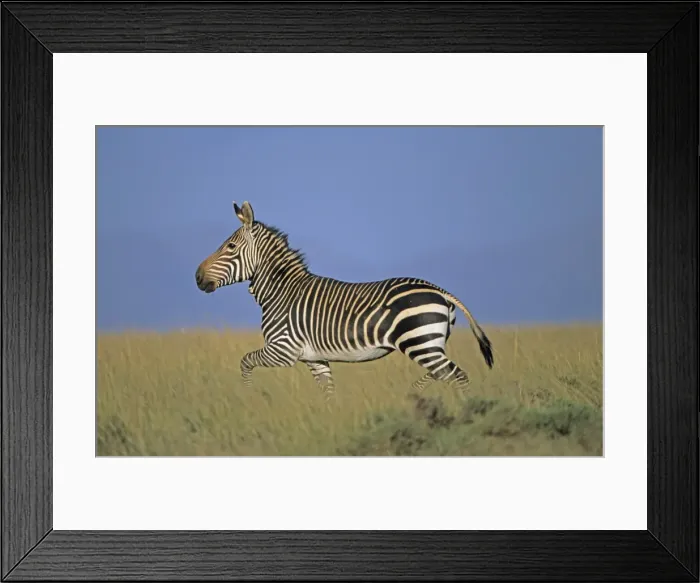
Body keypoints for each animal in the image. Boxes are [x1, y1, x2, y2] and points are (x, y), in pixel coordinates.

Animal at [195, 201, 493, 399]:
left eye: (230, 247)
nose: (197, 277)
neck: (282, 293)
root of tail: (439, 289)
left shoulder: (283, 349)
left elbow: (245, 361)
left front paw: (249, 396)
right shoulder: (315, 359)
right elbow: (328, 394)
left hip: (420, 343)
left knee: (458, 376)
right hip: (431, 344)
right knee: (442, 374)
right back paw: (412, 395)